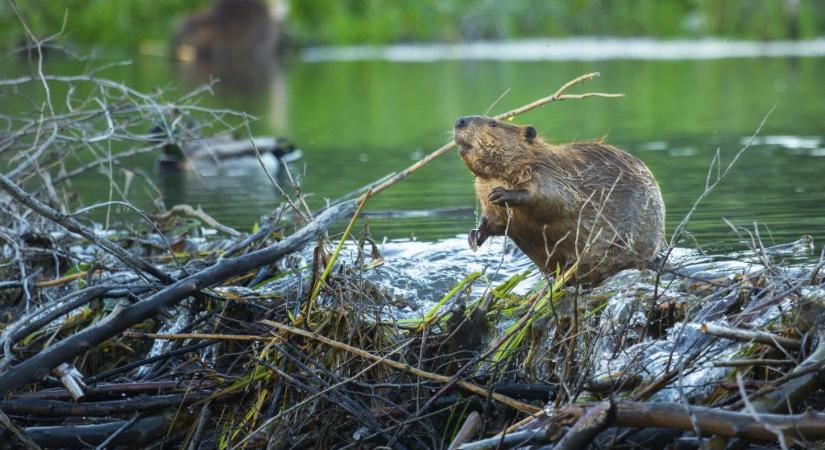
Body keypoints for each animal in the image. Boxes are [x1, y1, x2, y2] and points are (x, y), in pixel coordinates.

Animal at [454, 116, 668, 284]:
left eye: (493, 124)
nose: (460, 121)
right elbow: (493, 221)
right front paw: (474, 236)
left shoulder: (551, 173)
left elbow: (554, 199)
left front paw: (501, 194)